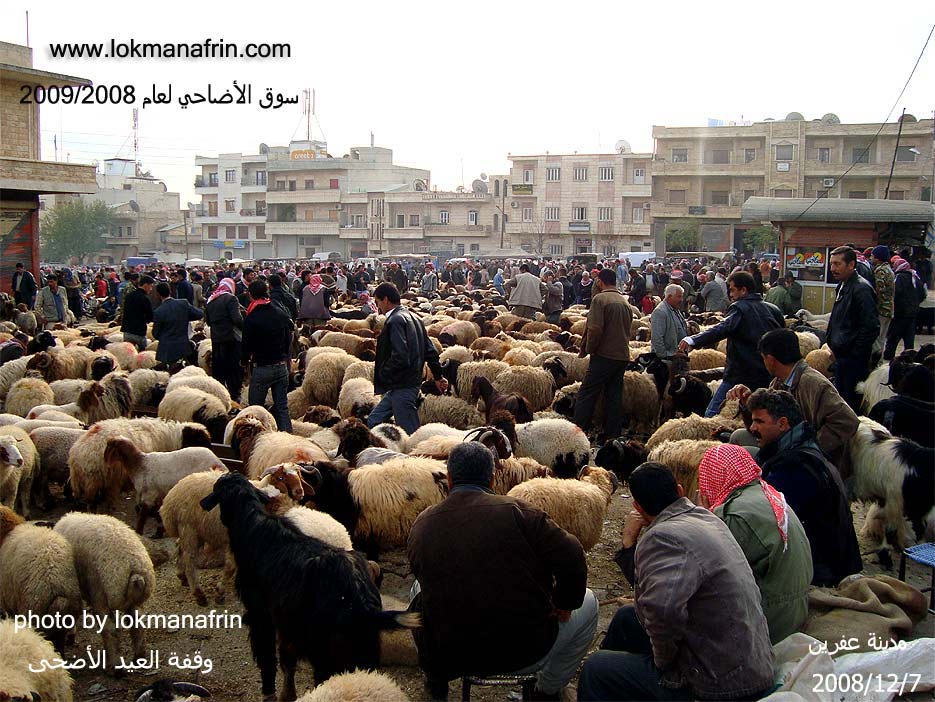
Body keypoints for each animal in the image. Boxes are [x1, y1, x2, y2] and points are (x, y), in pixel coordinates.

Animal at [53, 513, 155, 671]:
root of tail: (135, 570)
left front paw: (70, 635)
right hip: (133, 600)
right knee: (137, 625)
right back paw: (138, 658)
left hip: (100, 592)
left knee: (110, 629)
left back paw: (115, 668)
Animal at [199, 472, 420, 699]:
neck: (253, 525)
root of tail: (361, 604)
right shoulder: (286, 621)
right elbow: (287, 659)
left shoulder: (260, 613)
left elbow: (266, 656)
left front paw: (269, 690)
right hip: (362, 650)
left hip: (324, 648)